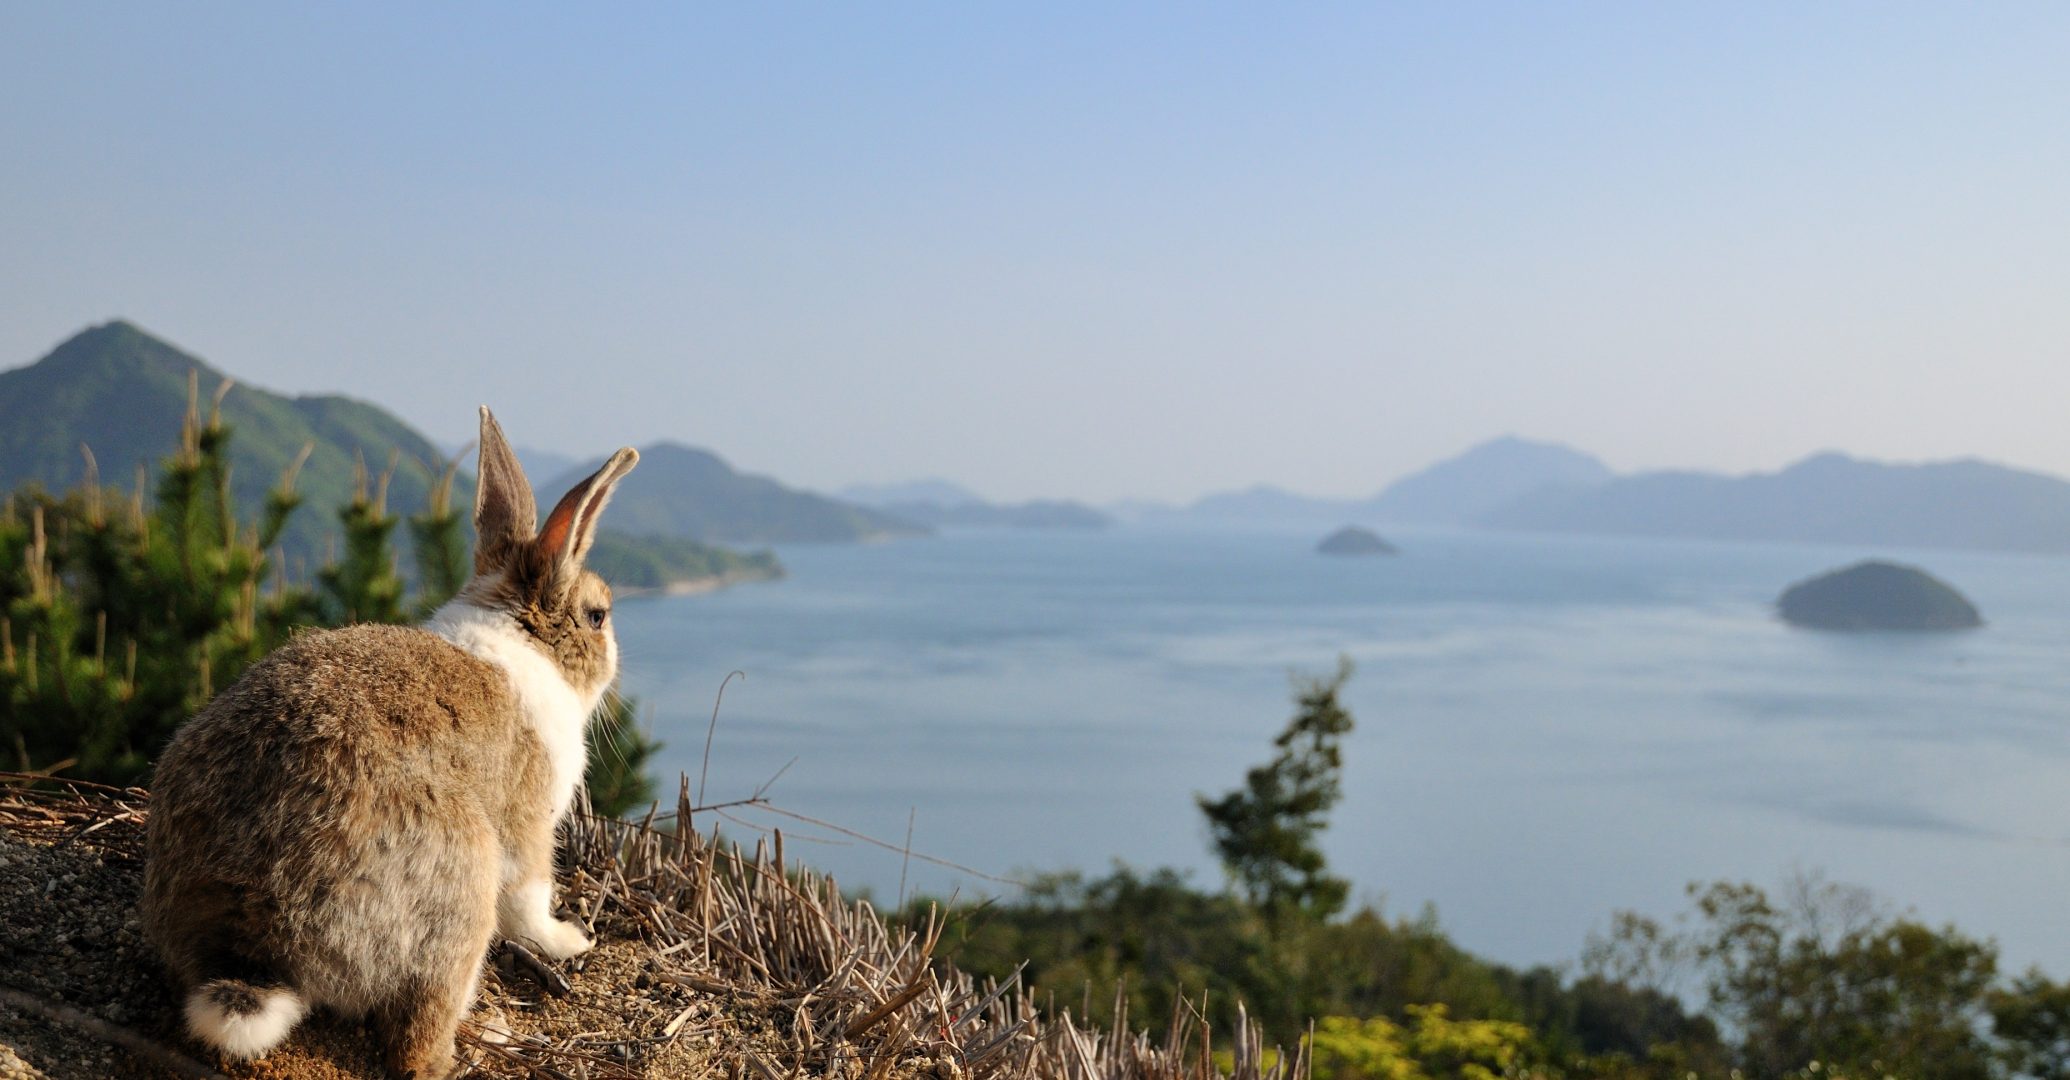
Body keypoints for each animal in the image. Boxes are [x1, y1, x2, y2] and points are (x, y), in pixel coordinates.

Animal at [141, 407, 639, 1078]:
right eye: (596, 616)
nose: (614, 660)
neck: (520, 634)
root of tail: (258, 932)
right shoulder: (528, 826)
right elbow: (531, 901)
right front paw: (569, 939)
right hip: (463, 883)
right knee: (416, 1042)